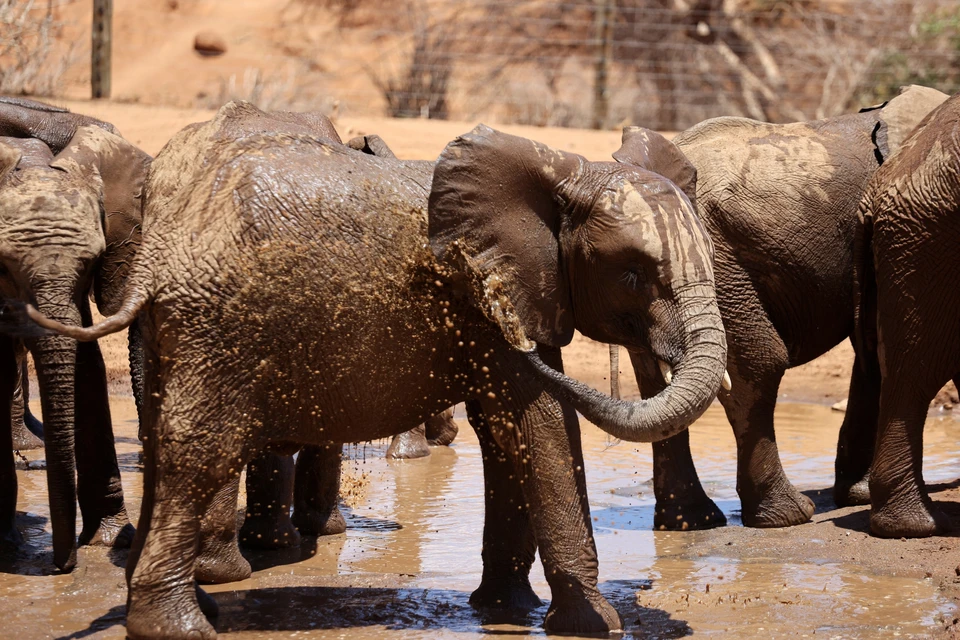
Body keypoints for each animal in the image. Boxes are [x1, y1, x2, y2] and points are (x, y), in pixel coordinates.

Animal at [31, 100, 728, 636]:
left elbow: (508, 434)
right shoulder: (486, 298)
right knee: (201, 447)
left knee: (162, 441)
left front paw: (503, 609)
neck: (561, 172)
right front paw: (596, 624)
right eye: (633, 274)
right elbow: (541, 424)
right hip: (220, 322)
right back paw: (180, 627)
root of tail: (165, 242)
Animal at [612, 82, 948, 528]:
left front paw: (856, 494)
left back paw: (690, 523)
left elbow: (870, 349)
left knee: (658, 384)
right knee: (756, 366)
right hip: (717, 260)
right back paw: (786, 516)